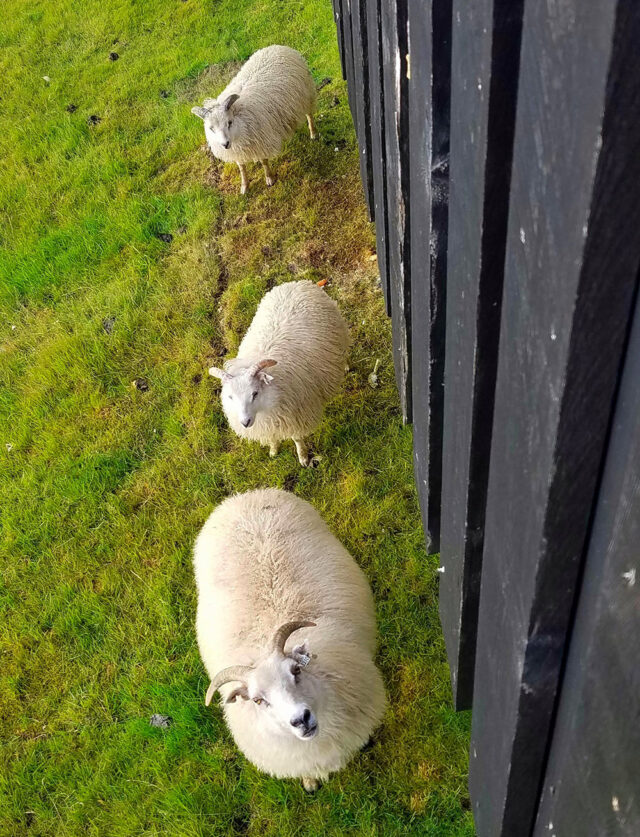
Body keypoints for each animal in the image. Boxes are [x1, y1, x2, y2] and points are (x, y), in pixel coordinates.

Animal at [191, 45, 318, 194]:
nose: (225, 144)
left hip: (307, 94)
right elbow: (241, 168)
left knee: (309, 115)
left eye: (229, 122)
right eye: (211, 128)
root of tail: (277, 46)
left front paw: (269, 178)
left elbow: (264, 161)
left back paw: (313, 133)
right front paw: (244, 186)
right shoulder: (237, 150)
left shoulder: (261, 140)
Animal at [209, 280, 349, 467]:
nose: (245, 423)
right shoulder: (269, 425)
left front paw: (303, 458)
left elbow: (297, 439)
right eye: (230, 397)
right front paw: (273, 451)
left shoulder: (297, 417)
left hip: (338, 333)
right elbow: (272, 439)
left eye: (255, 393)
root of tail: (297, 283)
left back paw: (346, 365)